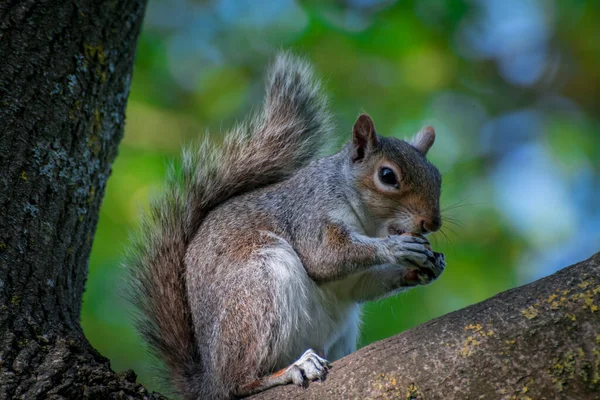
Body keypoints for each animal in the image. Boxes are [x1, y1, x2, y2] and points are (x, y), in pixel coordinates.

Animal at [126, 51, 446, 398]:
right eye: (387, 176)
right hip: (258, 292)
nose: (431, 223)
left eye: (437, 176)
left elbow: (358, 285)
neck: (369, 223)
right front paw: (397, 247)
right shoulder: (309, 214)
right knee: (239, 381)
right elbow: (323, 257)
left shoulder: (352, 279)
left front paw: (427, 267)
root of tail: (209, 382)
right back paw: (290, 369)